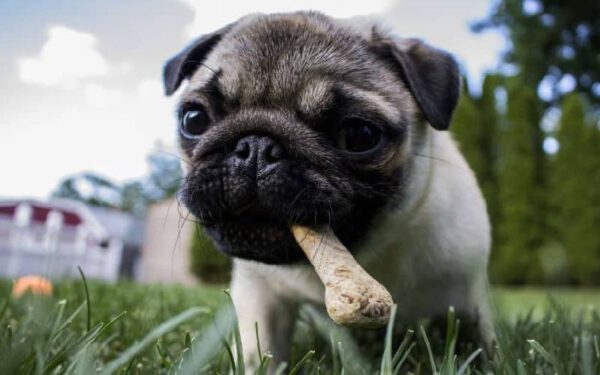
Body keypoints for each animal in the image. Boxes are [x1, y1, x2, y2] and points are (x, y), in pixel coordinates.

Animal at [164, 11, 492, 368]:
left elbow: (480, 342)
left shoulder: (468, 294)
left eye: (360, 135)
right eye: (194, 119)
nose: (256, 147)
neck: (365, 255)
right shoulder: (260, 293)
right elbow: (260, 352)